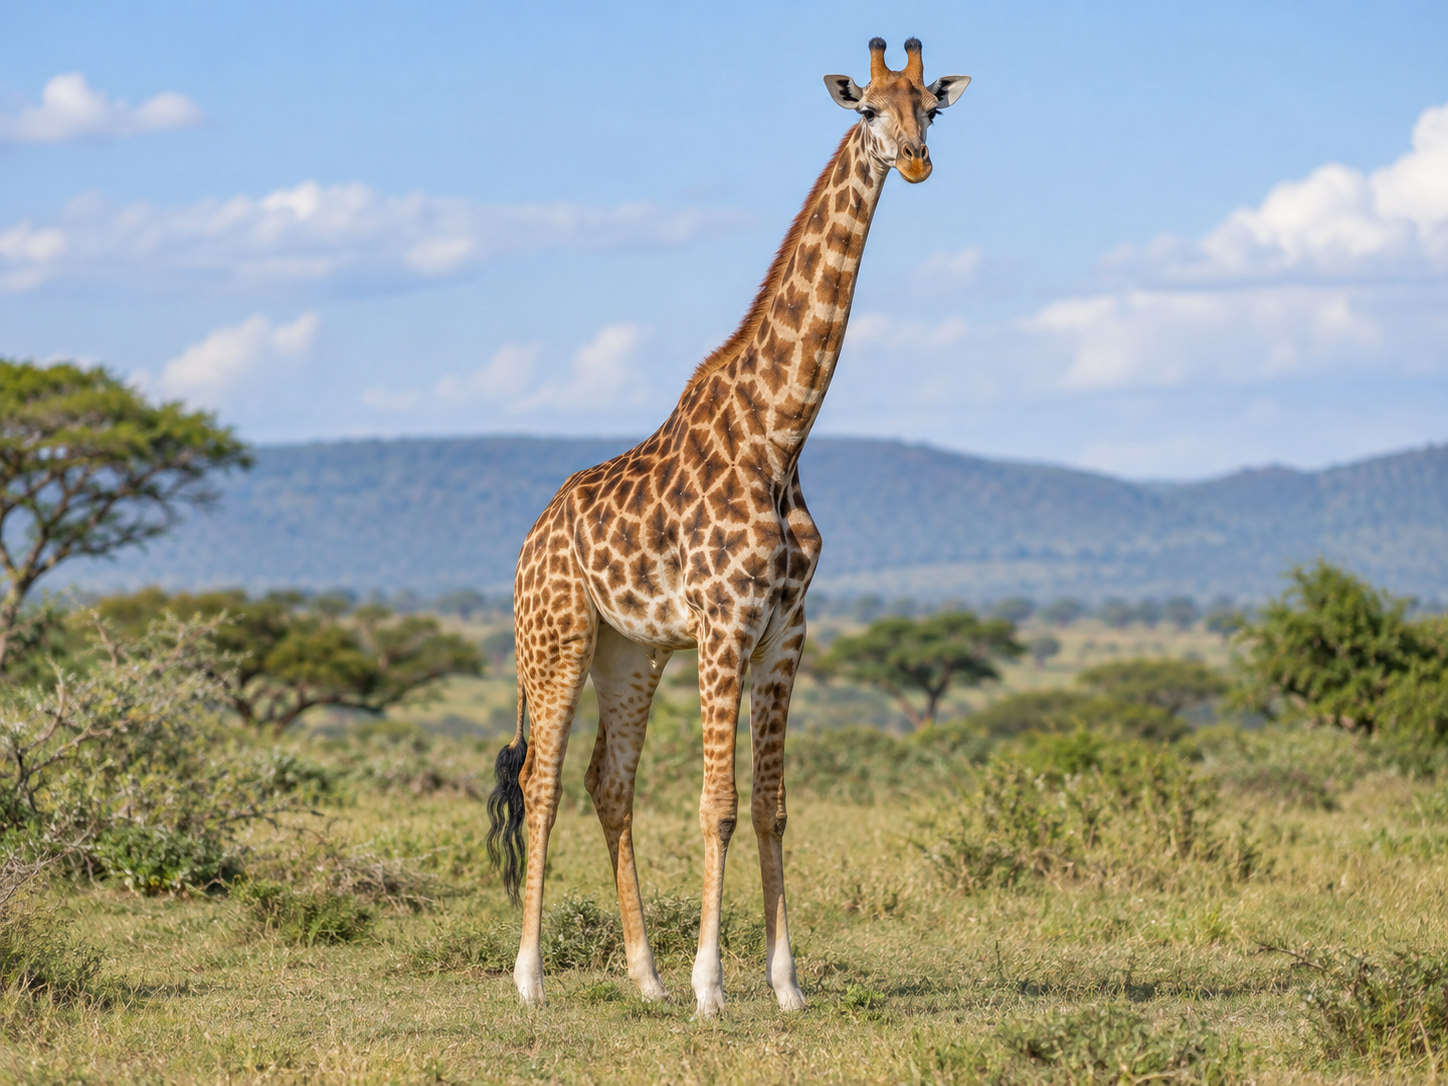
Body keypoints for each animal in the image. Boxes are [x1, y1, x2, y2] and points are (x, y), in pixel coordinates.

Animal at [487, 37, 970, 1018]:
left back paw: (645, 979)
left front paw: (786, 985)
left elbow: (774, 805)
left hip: (630, 651)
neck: (780, 432)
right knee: (541, 784)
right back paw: (532, 980)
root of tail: (531, 538)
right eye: (868, 108)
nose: (914, 161)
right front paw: (713, 988)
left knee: (608, 784)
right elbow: (718, 805)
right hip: (557, 640)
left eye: (931, 109)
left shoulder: (786, 631)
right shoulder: (723, 622)